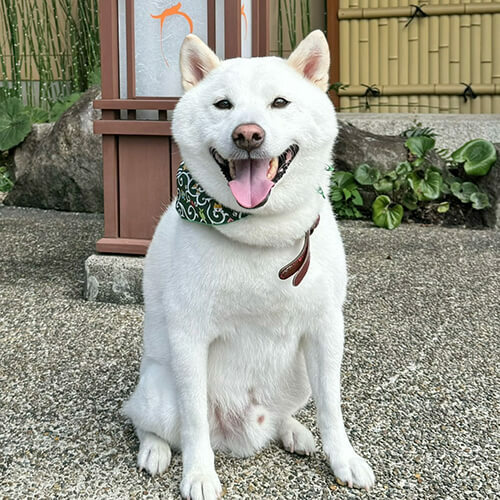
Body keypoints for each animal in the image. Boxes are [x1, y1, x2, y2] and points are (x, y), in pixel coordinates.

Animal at [123, 30, 376, 496]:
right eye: (223, 105)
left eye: (279, 102)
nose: (248, 135)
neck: (261, 233)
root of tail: (240, 434)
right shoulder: (190, 336)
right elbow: (193, 421)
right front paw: (199, 474)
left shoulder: (325, 327)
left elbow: (331, 406)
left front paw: (343, 459)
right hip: (158, 390)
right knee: (146, 420)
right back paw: (154, 450)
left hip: (297, 377)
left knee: (281, 417)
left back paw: (294, 430)